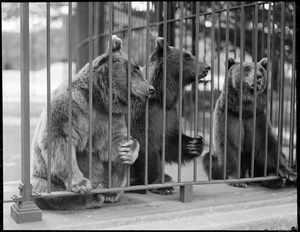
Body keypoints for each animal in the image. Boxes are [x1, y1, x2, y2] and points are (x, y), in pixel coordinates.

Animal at [30, 35, 155, 210]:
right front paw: (81, 183)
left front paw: (128, 149)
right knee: (48, 191)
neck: (99, 97)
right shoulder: (72, 106)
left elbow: (112, 140)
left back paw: (110, 192)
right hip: (43, 178)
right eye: (136, 69)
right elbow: (59, 138)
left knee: (118, 166)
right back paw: (93, 196)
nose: (151, 89)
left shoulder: (109, 117)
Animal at [129, 37, 211, 194]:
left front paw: (194, 144)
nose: (207, 67)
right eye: (186, 56)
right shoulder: (141, 115)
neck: (162, 97)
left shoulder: (170, 113)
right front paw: (162, 186)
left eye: (191, 54)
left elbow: (170, 141)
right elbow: (147, 149)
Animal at [202, 57, 298, 188]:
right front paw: (237, 181)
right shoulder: (229, 115)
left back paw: (273, 179)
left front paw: (290, 174)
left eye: (261, 69)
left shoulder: (258, 118)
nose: (258, 76)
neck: (245, 108)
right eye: (247, 68)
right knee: (208, 160)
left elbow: (268, 146)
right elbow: (228, 144)